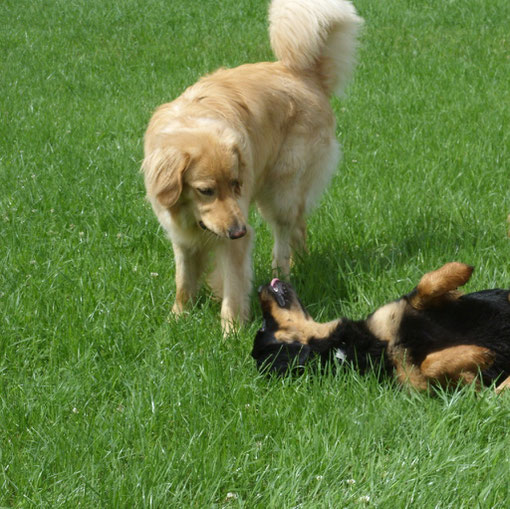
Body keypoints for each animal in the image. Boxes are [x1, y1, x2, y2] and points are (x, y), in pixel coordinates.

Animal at [253, 262, 510, 392]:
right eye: (263, 328)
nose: (258, 288)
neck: (343, 347)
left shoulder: (407, 309)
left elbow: (427, 284)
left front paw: (461, 269)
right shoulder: (415, 381)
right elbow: (428, 366)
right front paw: (479, 354)